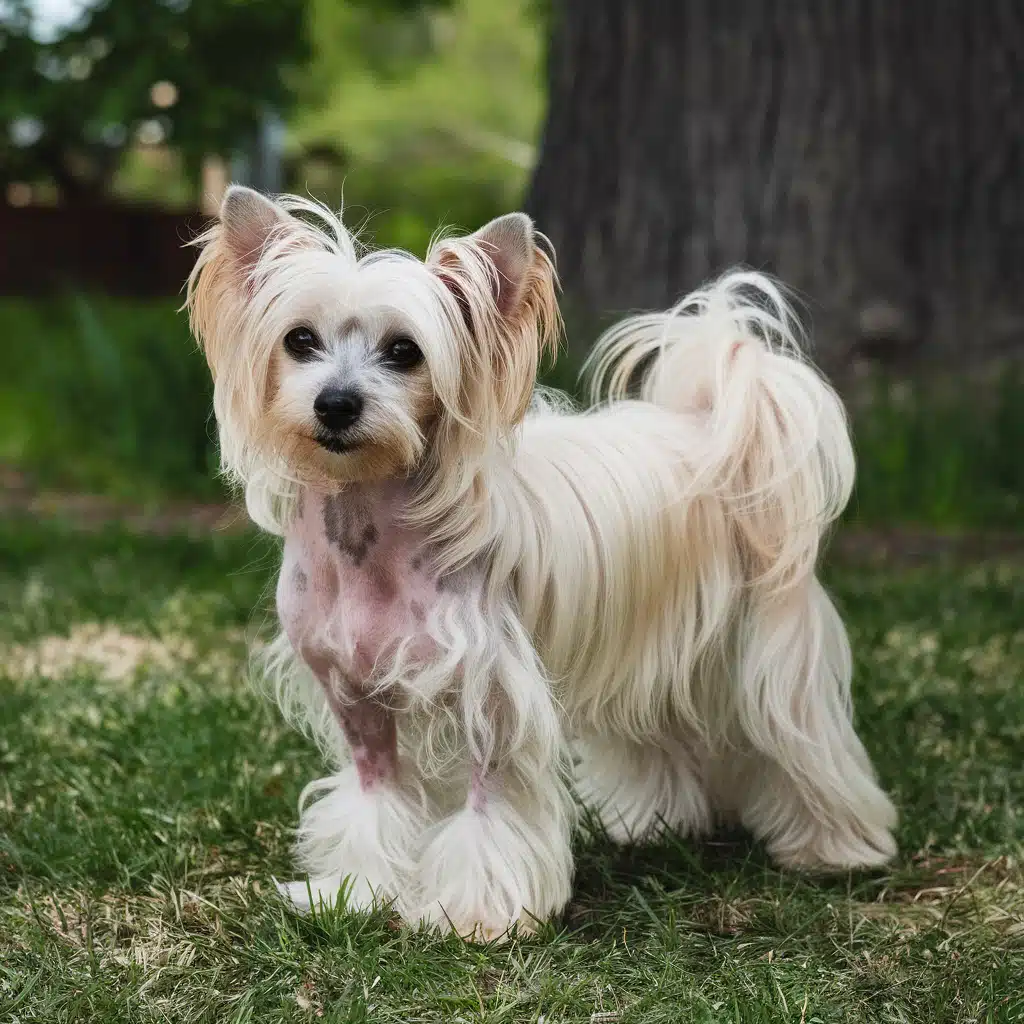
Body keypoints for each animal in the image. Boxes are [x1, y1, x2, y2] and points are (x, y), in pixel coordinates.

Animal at [186, 186, 897, 942]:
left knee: (803, 741)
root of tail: (707, 427)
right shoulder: (354, 695)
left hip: (769, 658)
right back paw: (651, 821)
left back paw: (835, 846)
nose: (337, 405)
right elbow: (372, 797)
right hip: (646, 651)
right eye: (299, 340)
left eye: (405, 351)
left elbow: (489, 811)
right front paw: (358, 890)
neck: (367, 536)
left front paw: (475, 913)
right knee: (657, 731)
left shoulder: (490, 696)